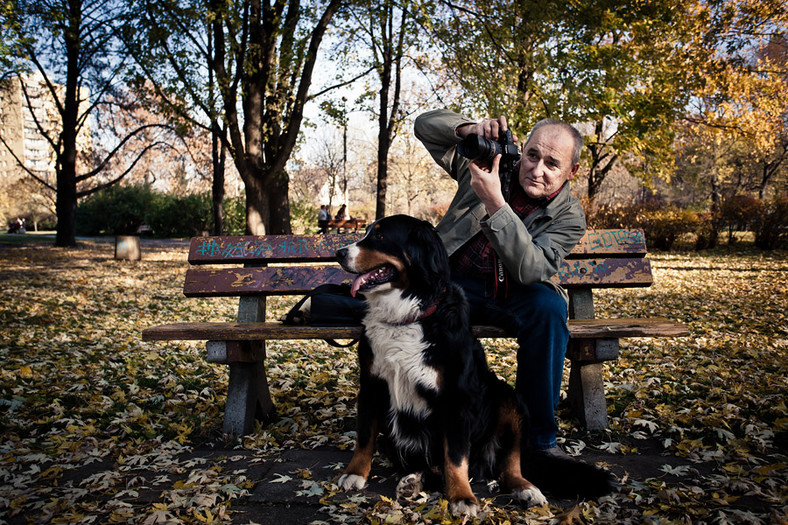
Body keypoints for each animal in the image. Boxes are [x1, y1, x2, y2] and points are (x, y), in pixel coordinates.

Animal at [336, 214, 612, 516]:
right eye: (367, 232)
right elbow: (364, 437)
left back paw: (526, 489)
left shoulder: (455, 398)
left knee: (508, 466)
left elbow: (456, 458)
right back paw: (413, 482)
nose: (338, 253)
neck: (409, 315)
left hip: (509, 400)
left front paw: (462, 497)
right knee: (434, 467)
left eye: (381, 236)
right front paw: (355, 474)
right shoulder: (372, 384)